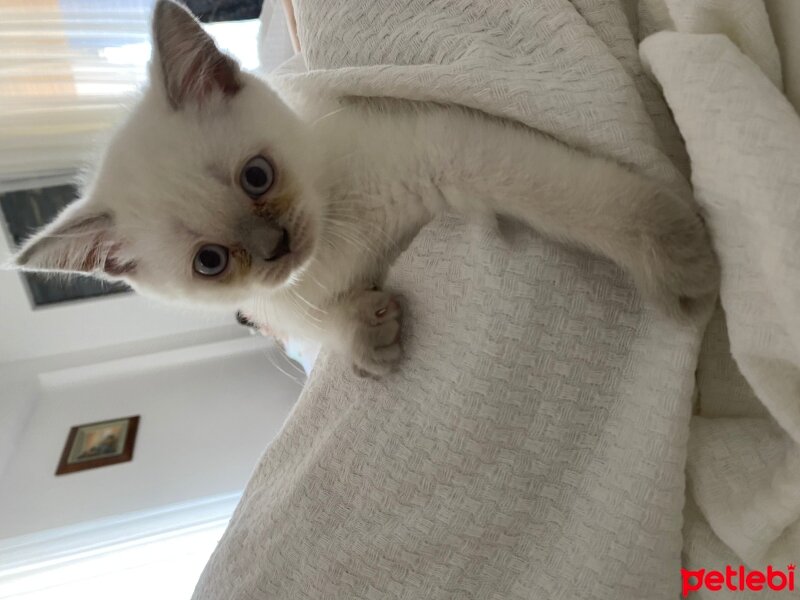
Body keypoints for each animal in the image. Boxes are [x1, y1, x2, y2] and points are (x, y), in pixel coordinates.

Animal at [6, 0, 720, 376]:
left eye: (257, 176)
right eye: (209, 263)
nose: (275, 248)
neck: (342, 233)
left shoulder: (450, 150)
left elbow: (571, 192)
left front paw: (679, 256)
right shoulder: (278, 307)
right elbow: (313, 326)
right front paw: (365, 336)